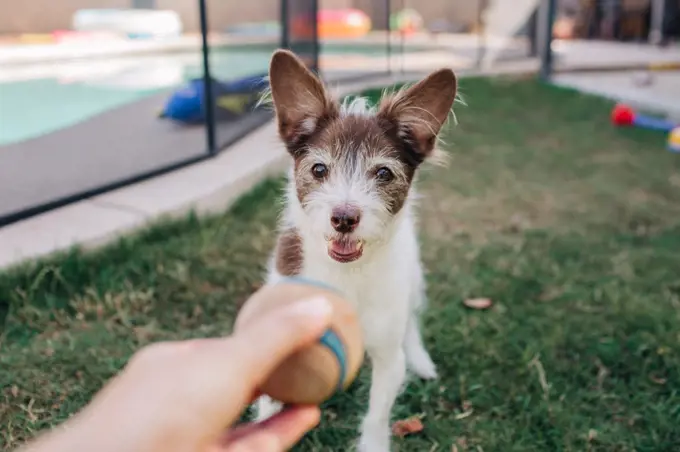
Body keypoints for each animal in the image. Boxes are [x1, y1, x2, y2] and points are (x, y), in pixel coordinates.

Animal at [254, 49, 456, 452]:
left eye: (383, 174)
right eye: (319, 169)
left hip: (412, 280)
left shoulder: (388, 358)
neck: (345, 275)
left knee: (411, 321)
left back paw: (421, 361)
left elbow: (378, 412)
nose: (344, 218)